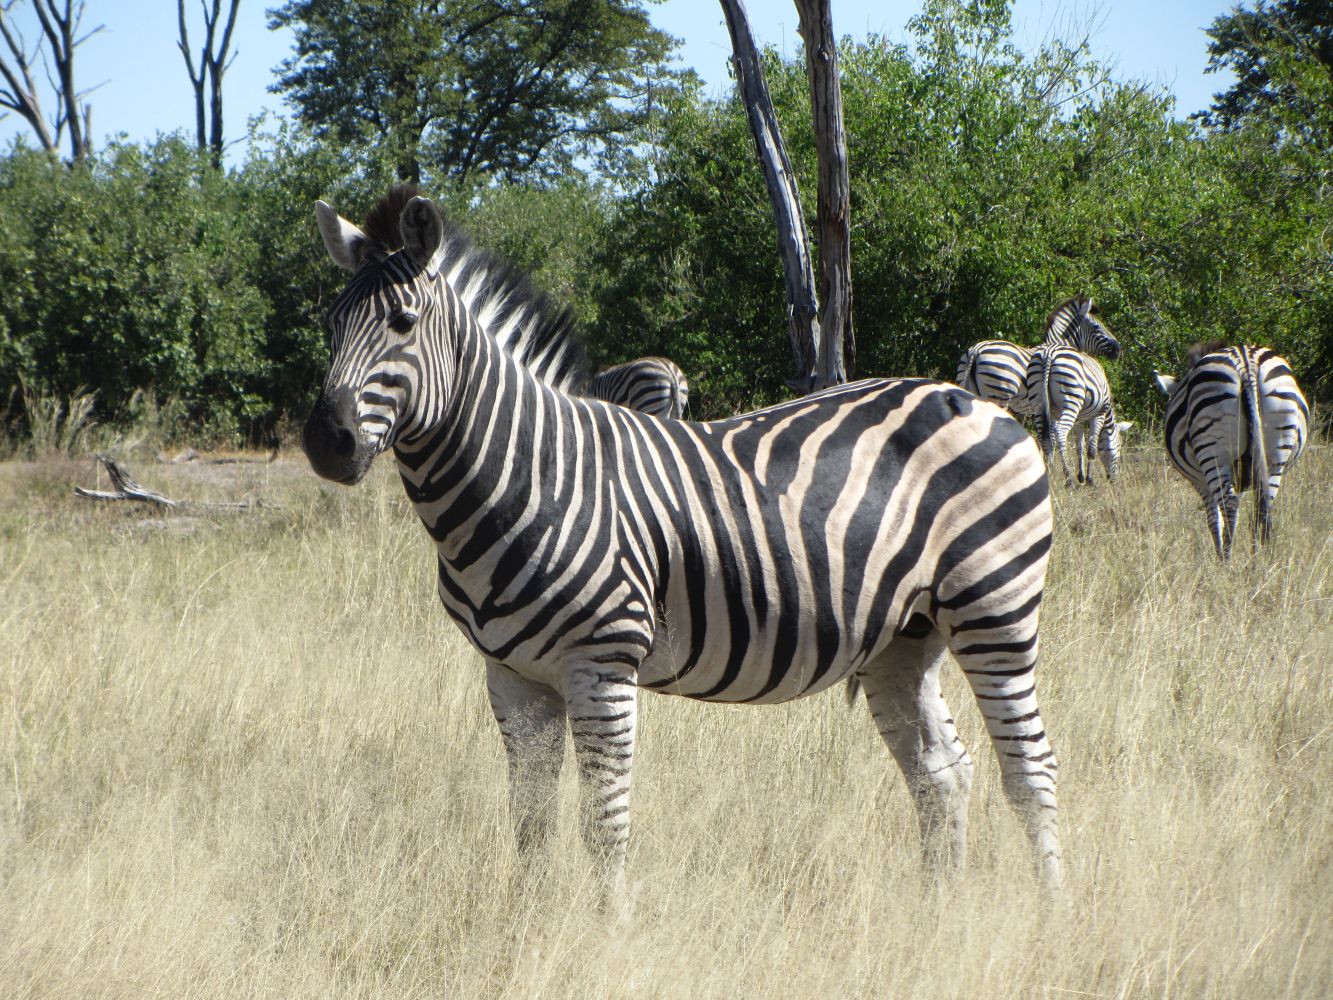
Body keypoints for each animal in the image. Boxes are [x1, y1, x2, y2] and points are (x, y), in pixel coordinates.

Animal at [299, 188, 1061, 906]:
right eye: (331, 325)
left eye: (402, 323)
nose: (325, 443)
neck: (529, 475)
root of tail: (974, 402)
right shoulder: (511, 674)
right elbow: (530, 822)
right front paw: (528, 928)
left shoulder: (601, 663)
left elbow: (603, 824)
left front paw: (608, 934)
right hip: (906, 634)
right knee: (942, 772)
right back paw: (939, 916)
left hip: (994, 609)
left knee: (1030, 770)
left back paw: (1048, 915)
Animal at [1018, 346, 1125, 488]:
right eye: (1119, 447)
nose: (1114, 481)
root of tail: (1048, 353)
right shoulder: (1099, 414)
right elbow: (1091, 448)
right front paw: (1089, 480)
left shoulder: (1076, 419)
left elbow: (1079, 446)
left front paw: (1081, 477)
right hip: (1071, 400)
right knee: (1061, 432)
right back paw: (1069, 478)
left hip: (1038, 401)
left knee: (1043, 436)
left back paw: (1049, 471)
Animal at [1151, 344, 1306, 565]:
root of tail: (1247, 364)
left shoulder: (1201, 483)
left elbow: (1213, 518)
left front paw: (1218, 553)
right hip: (1277, 447)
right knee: (1263, 504)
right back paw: (1259, 561)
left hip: (1212, 450)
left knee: (1229, 504)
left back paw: (1226, 561)